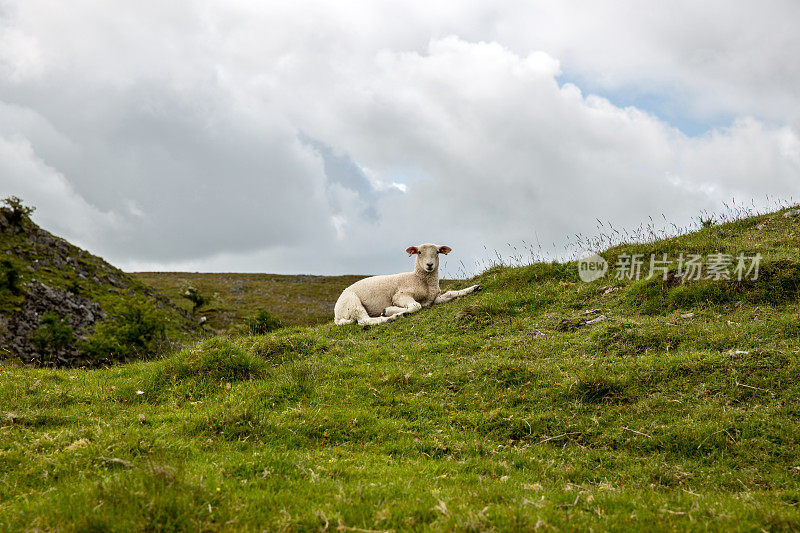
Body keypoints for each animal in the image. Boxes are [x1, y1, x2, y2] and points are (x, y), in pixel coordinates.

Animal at [332, 242, 482, 324]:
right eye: (419, 252)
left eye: (437, 252)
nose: (429, 265)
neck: (421, 280)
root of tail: (337, 317)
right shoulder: (400, 295)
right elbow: (416, 306)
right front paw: (389, 310)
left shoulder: (435, 298)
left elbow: (451, 293)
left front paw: (474, 288)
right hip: (352, 303)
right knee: (364, 320)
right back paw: (392, 317)